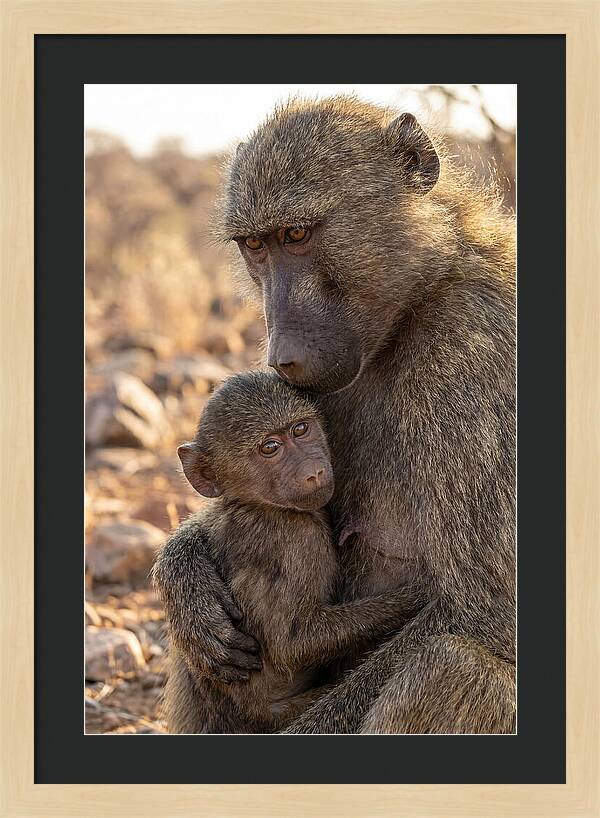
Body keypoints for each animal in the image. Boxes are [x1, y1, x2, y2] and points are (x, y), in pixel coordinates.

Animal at [153, 370, 425, 733]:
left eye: (301, 429)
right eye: (270, 448)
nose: (314, 471)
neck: (256, 505)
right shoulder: (298, 539)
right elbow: (293, 644)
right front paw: (418, 595)